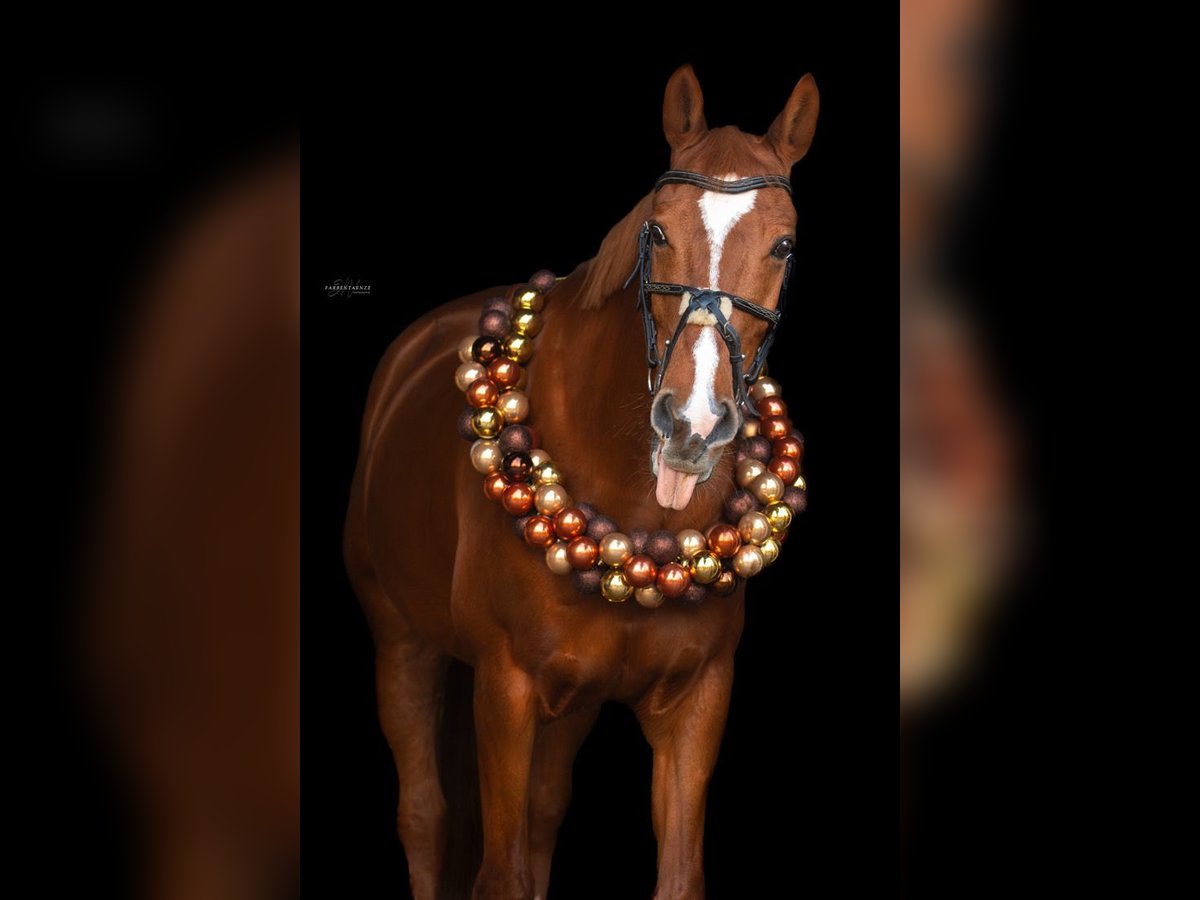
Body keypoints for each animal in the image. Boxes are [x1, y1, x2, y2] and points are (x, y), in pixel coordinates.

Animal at [344, 65, 818, 899]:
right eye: (657, 231)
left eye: (783, 243)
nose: (693, 423)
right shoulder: (504, 690)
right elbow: (498, 872)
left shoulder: (697, 700)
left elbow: (673, 873)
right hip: (400, 638)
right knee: (425, 816)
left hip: (571, 707)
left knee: (542, 816)